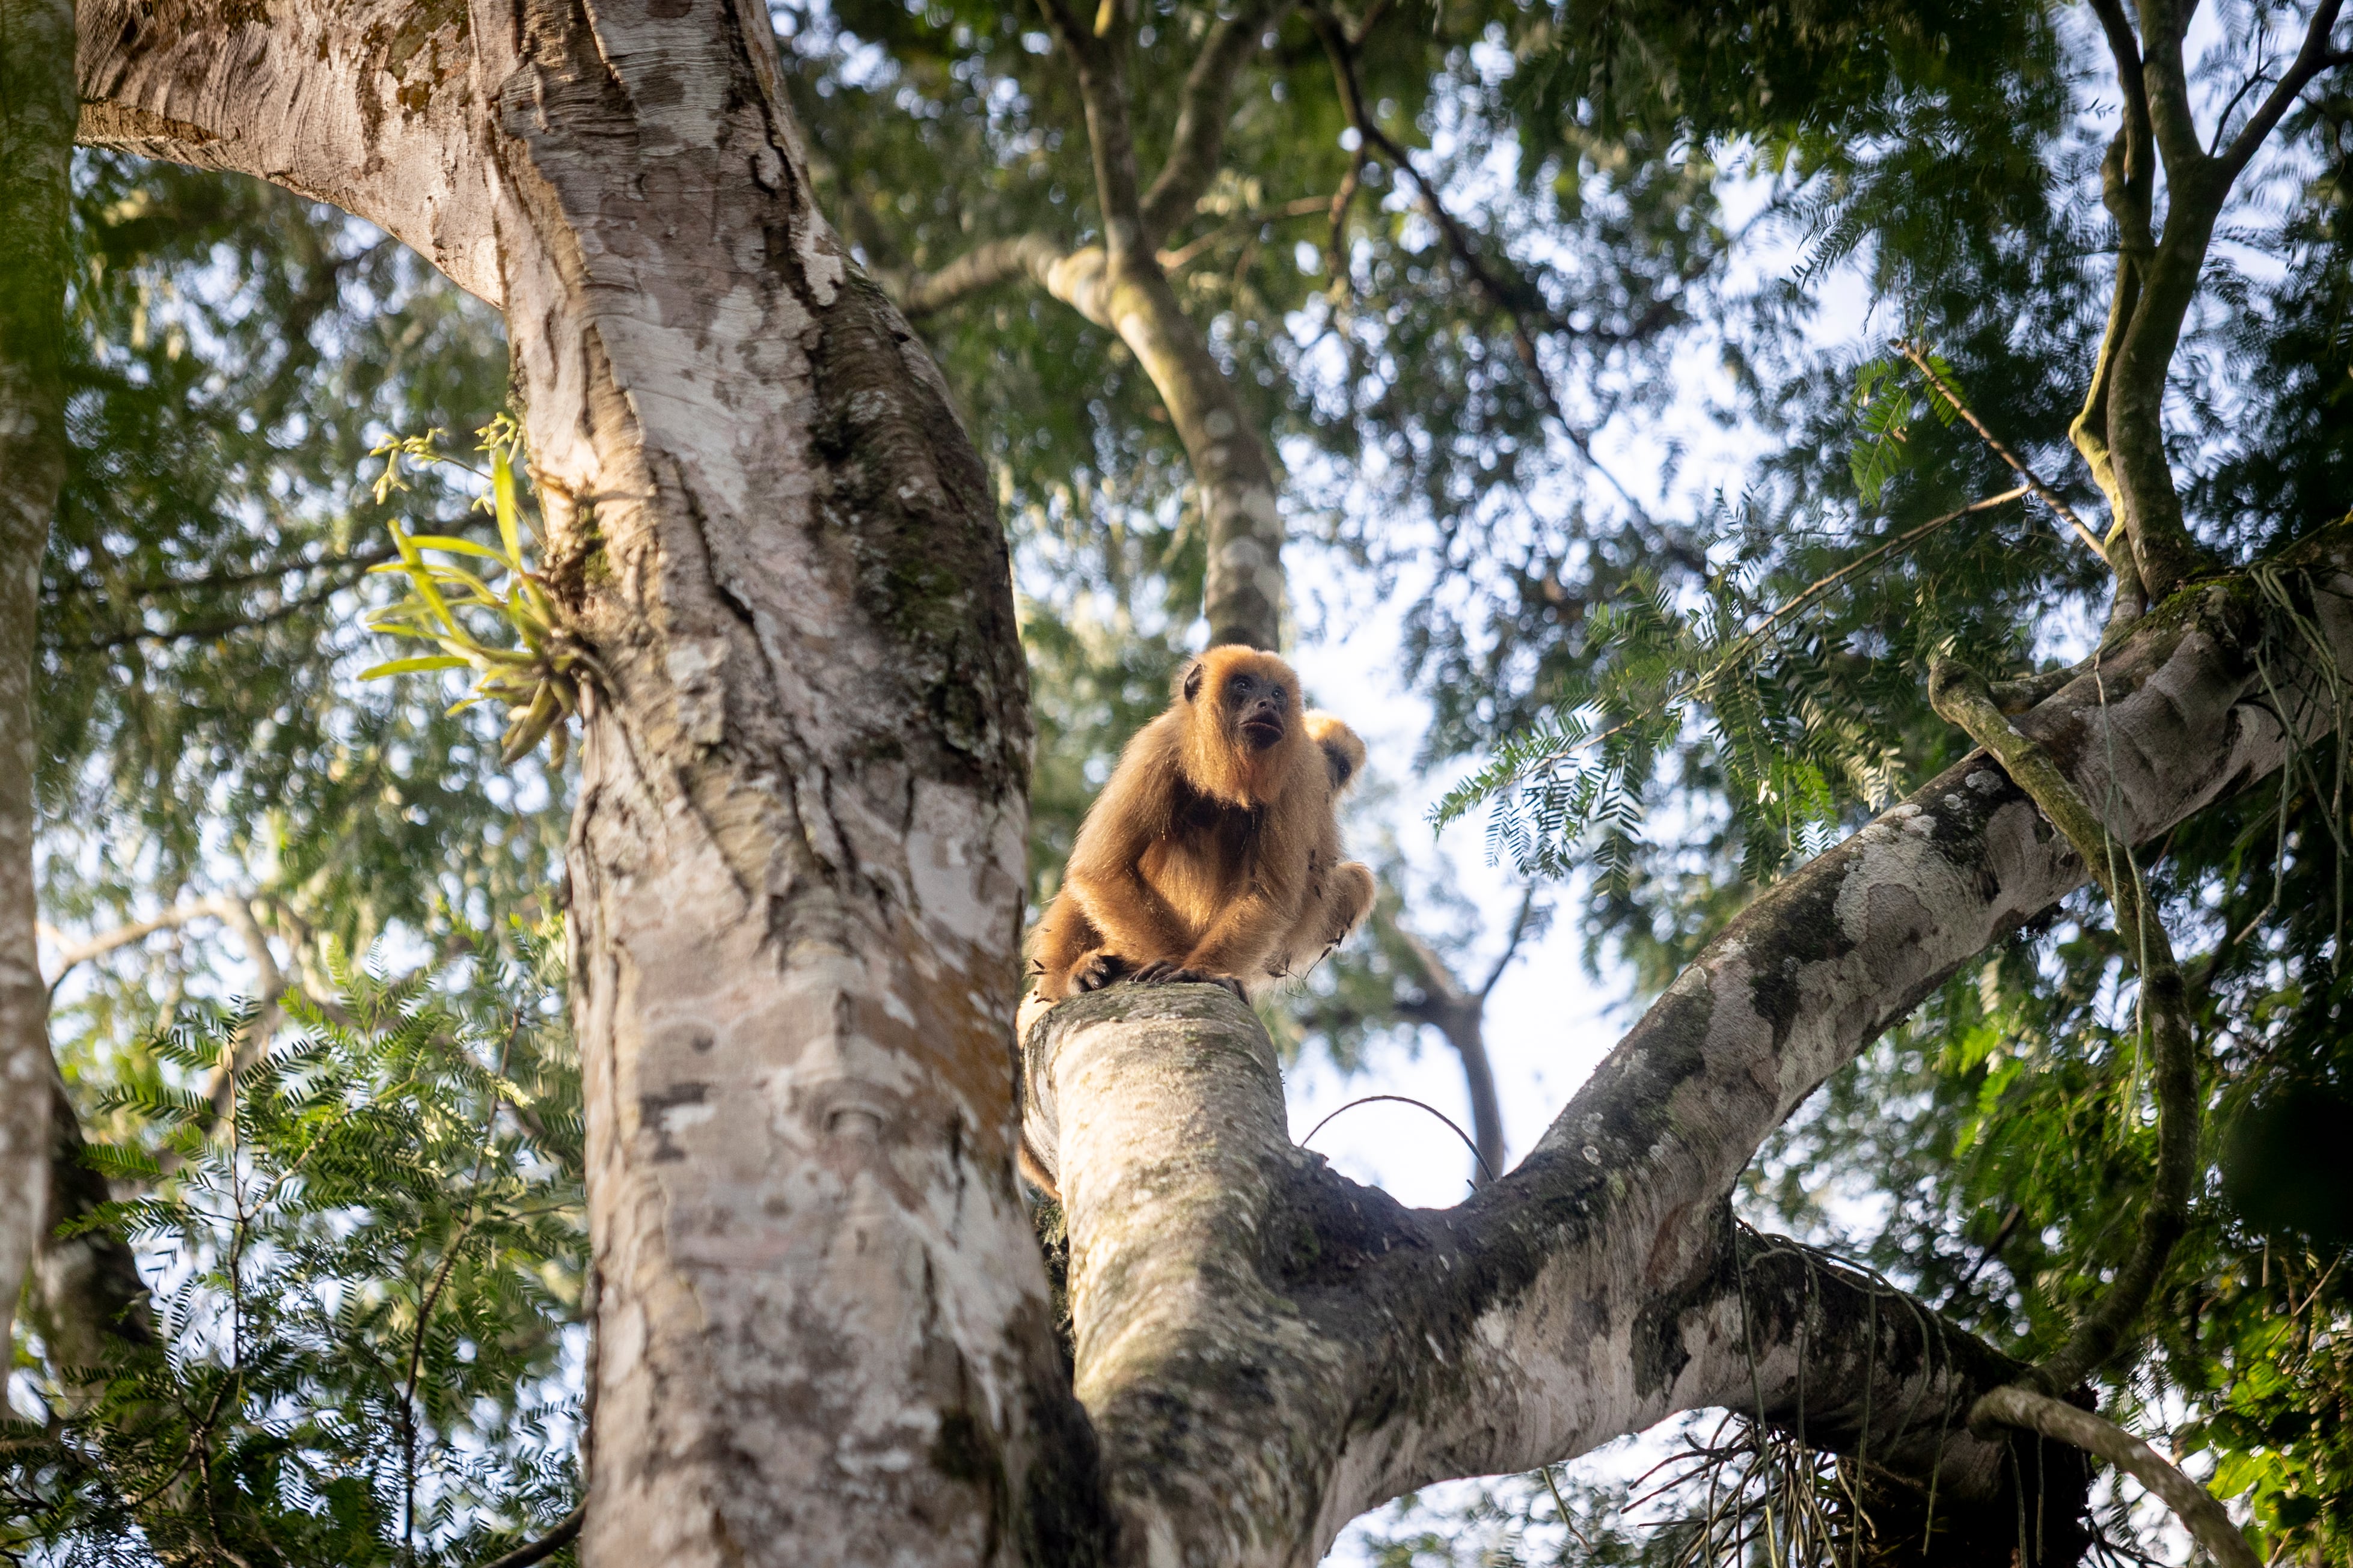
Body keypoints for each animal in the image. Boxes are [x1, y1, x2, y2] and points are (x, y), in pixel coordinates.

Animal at [1027, 645, 1377, 1006]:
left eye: (1278, 693)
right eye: (1243, 685)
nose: (1267, 704)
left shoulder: (1301, 771)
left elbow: (1271, 896)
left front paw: (1197, 970)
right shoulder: (1159, 743)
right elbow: (1101, 871)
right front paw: (1170, 960)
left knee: (1355, 881)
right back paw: (1068, 978)